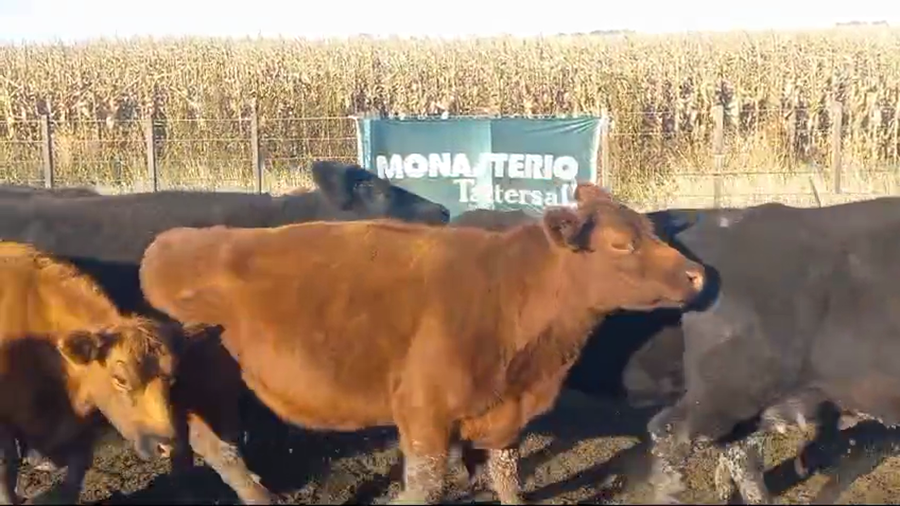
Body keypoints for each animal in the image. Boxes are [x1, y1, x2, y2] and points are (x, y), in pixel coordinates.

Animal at [0, 241, 179, 505]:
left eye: (171, 378)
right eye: (120, 379)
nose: (166, 446)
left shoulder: (82, 428)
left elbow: (74, 478)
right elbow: (6, 473)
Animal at [137, 182, 706, 504]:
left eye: (651, 230)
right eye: (621, 244)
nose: (697, 275)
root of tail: (170, 242)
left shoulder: (502, 415)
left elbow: (506, 476)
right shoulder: (423, 412)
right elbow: (425, 485)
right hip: (205, 384)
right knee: (217, 445)